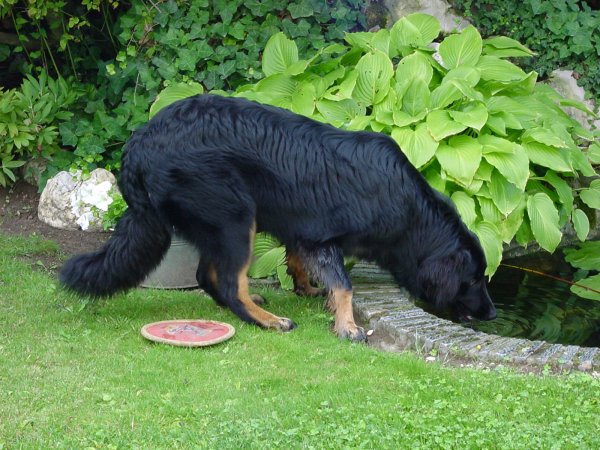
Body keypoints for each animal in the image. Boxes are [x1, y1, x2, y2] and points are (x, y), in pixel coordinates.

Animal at [59, 96, 496, 342]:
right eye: (474, 279)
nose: (493, 314)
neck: (410, 209)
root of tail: (138, 146)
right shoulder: (322, 237)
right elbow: (345, 286)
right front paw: (347, 326)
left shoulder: (302, 231)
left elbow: (298, 260)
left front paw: (307, 288)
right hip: (236, 217)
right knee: (230, 283)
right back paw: (268, 321)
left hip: (223, 222)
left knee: (209, 277)